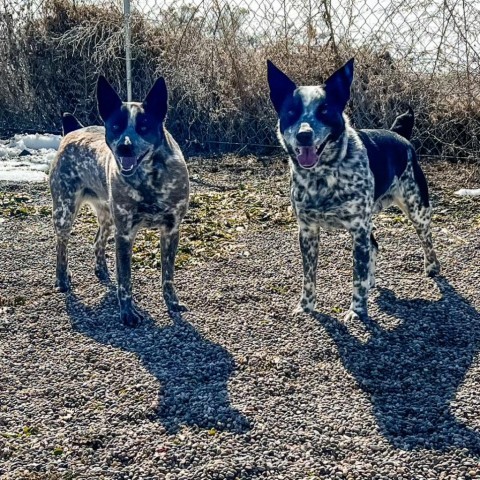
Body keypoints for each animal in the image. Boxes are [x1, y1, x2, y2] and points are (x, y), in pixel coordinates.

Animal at [49, 77, 188, 328]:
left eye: (144, 126)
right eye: (115, 126)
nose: (125, 146)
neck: (149, 180)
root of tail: (72, 130)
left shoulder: (171, 230)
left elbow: (168, 275)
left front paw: (172, 303)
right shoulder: (124, 234)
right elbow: (125, 279)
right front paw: (128, 313)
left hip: (107, 217)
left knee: (97, 241)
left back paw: (102, 270)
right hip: (64, 212)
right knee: (61, 247)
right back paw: (62, 279)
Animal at [268, 58, 440, 320]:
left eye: (325, 110)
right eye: (291, 111)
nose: (304, 135)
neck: (322, 176)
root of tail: (399, 134)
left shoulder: (358, 229)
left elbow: (357, 275)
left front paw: (357, 310)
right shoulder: (307, 231)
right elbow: (309, 276)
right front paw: (306, 306)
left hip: (417, 209)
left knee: (427, 240)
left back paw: (431, 267)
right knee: (375, 246)